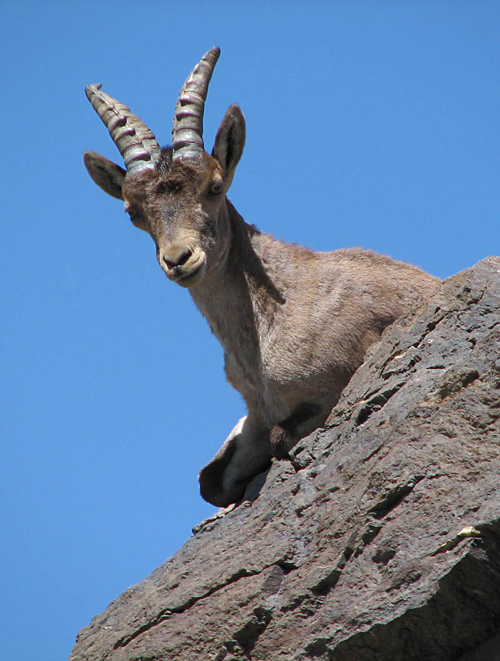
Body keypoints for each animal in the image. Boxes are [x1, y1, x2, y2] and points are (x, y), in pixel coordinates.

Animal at [82, 47, 438, 506]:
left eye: (215, 186)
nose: (179, 259)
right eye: (132, 212)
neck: (270, 320)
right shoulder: (255, 410)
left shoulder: (343, 376)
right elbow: (210, 480)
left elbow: (279, 437)